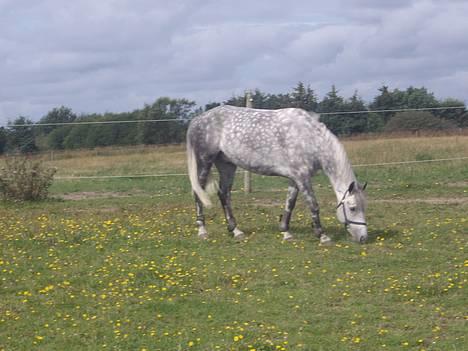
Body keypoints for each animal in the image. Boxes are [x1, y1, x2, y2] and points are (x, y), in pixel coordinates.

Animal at [185, 106, 368, 245]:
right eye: (352, 208)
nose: (363, 237)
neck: (309, 138)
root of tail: (197, 119)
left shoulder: (295, 178)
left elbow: (290, 204)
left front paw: (286, 232)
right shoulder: (302, 177)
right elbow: (313, 205)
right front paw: (322, 236)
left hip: (227, 165)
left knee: (224, 194)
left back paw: (236, 231)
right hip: (204, 162)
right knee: (197, 193)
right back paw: (202, 231)